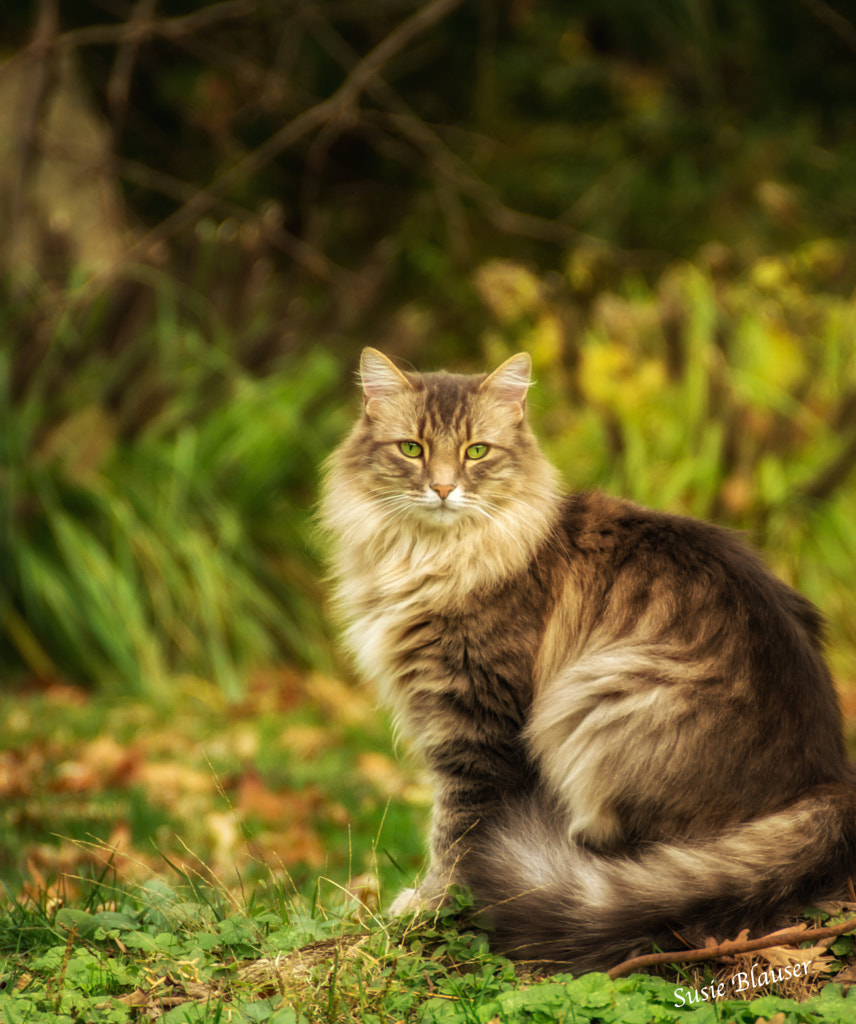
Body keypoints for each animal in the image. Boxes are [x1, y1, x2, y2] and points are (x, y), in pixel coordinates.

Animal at [315, 348, 855, 970]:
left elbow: (457, 831)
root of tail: (830, 781)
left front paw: (431, 906)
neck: (431, 556)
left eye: (477, 451)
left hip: (600, 695)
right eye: (411, 449)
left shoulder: (477, 724)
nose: (444, 488)